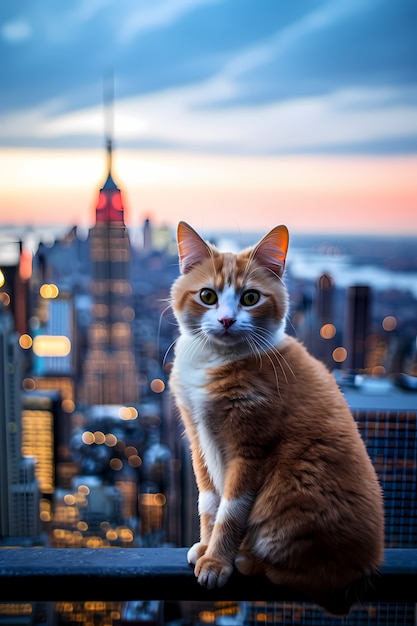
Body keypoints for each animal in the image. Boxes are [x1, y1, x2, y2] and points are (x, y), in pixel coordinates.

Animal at [168, 221, 384, 616]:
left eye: (250, 298)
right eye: (207, 295)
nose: (226, 320)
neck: (216, 362)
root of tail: (368, 564)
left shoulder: (252, 449)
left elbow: (231, 511)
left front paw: (217, 561)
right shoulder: (198, 440)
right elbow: (208, 503)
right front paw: (205, 546)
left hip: (294, 492)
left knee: (317, 579)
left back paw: (248, 560)